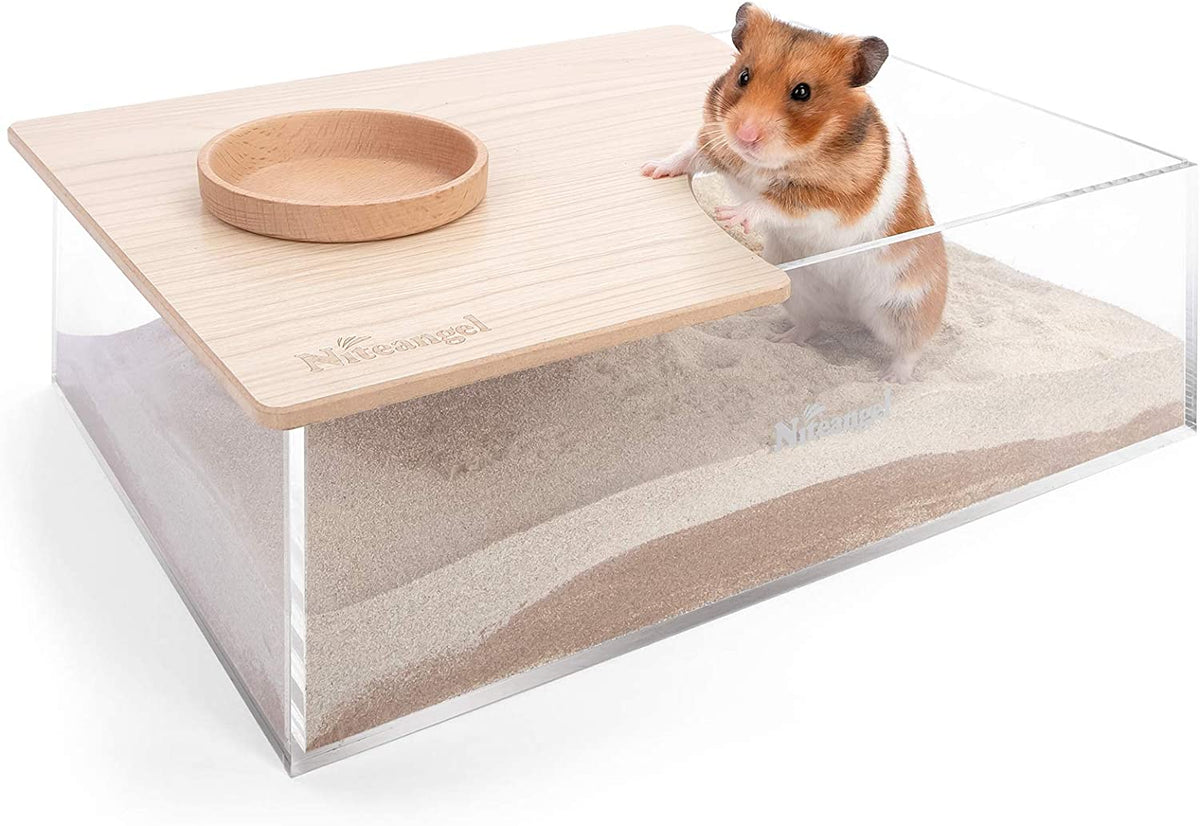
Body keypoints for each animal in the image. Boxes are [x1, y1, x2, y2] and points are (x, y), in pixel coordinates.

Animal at [642, 4, 947, 383]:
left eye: (802, 92)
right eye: (743, 76)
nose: (745, 135)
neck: (769, 163)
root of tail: (849, 313)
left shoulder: (832, 201)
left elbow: (773, 202)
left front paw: (729, 216)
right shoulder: (716, 141)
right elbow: (689, 153)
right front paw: (651, 169)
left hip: (906, 305)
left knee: (911, 348)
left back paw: (891, 379)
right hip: (798, 292)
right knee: (810, 326)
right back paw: (779, 338)